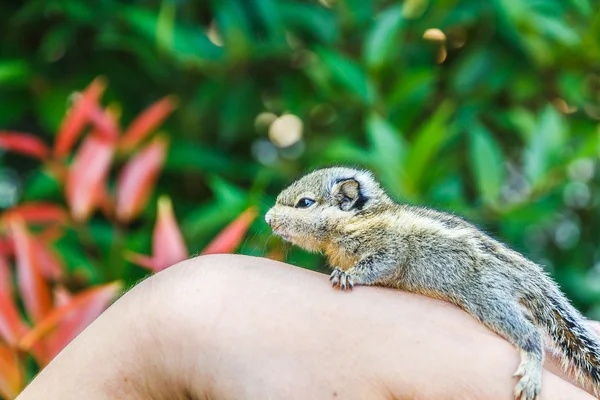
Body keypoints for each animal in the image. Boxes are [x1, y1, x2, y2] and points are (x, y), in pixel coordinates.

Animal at [264, 166, 600, 400]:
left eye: (305, 203)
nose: (267, 218)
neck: (358, 220)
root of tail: (527, 274)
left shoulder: (391, 248)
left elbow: (381, 265)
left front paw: (350, 276)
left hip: (489, 299)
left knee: (530, 335)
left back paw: (531, 371)